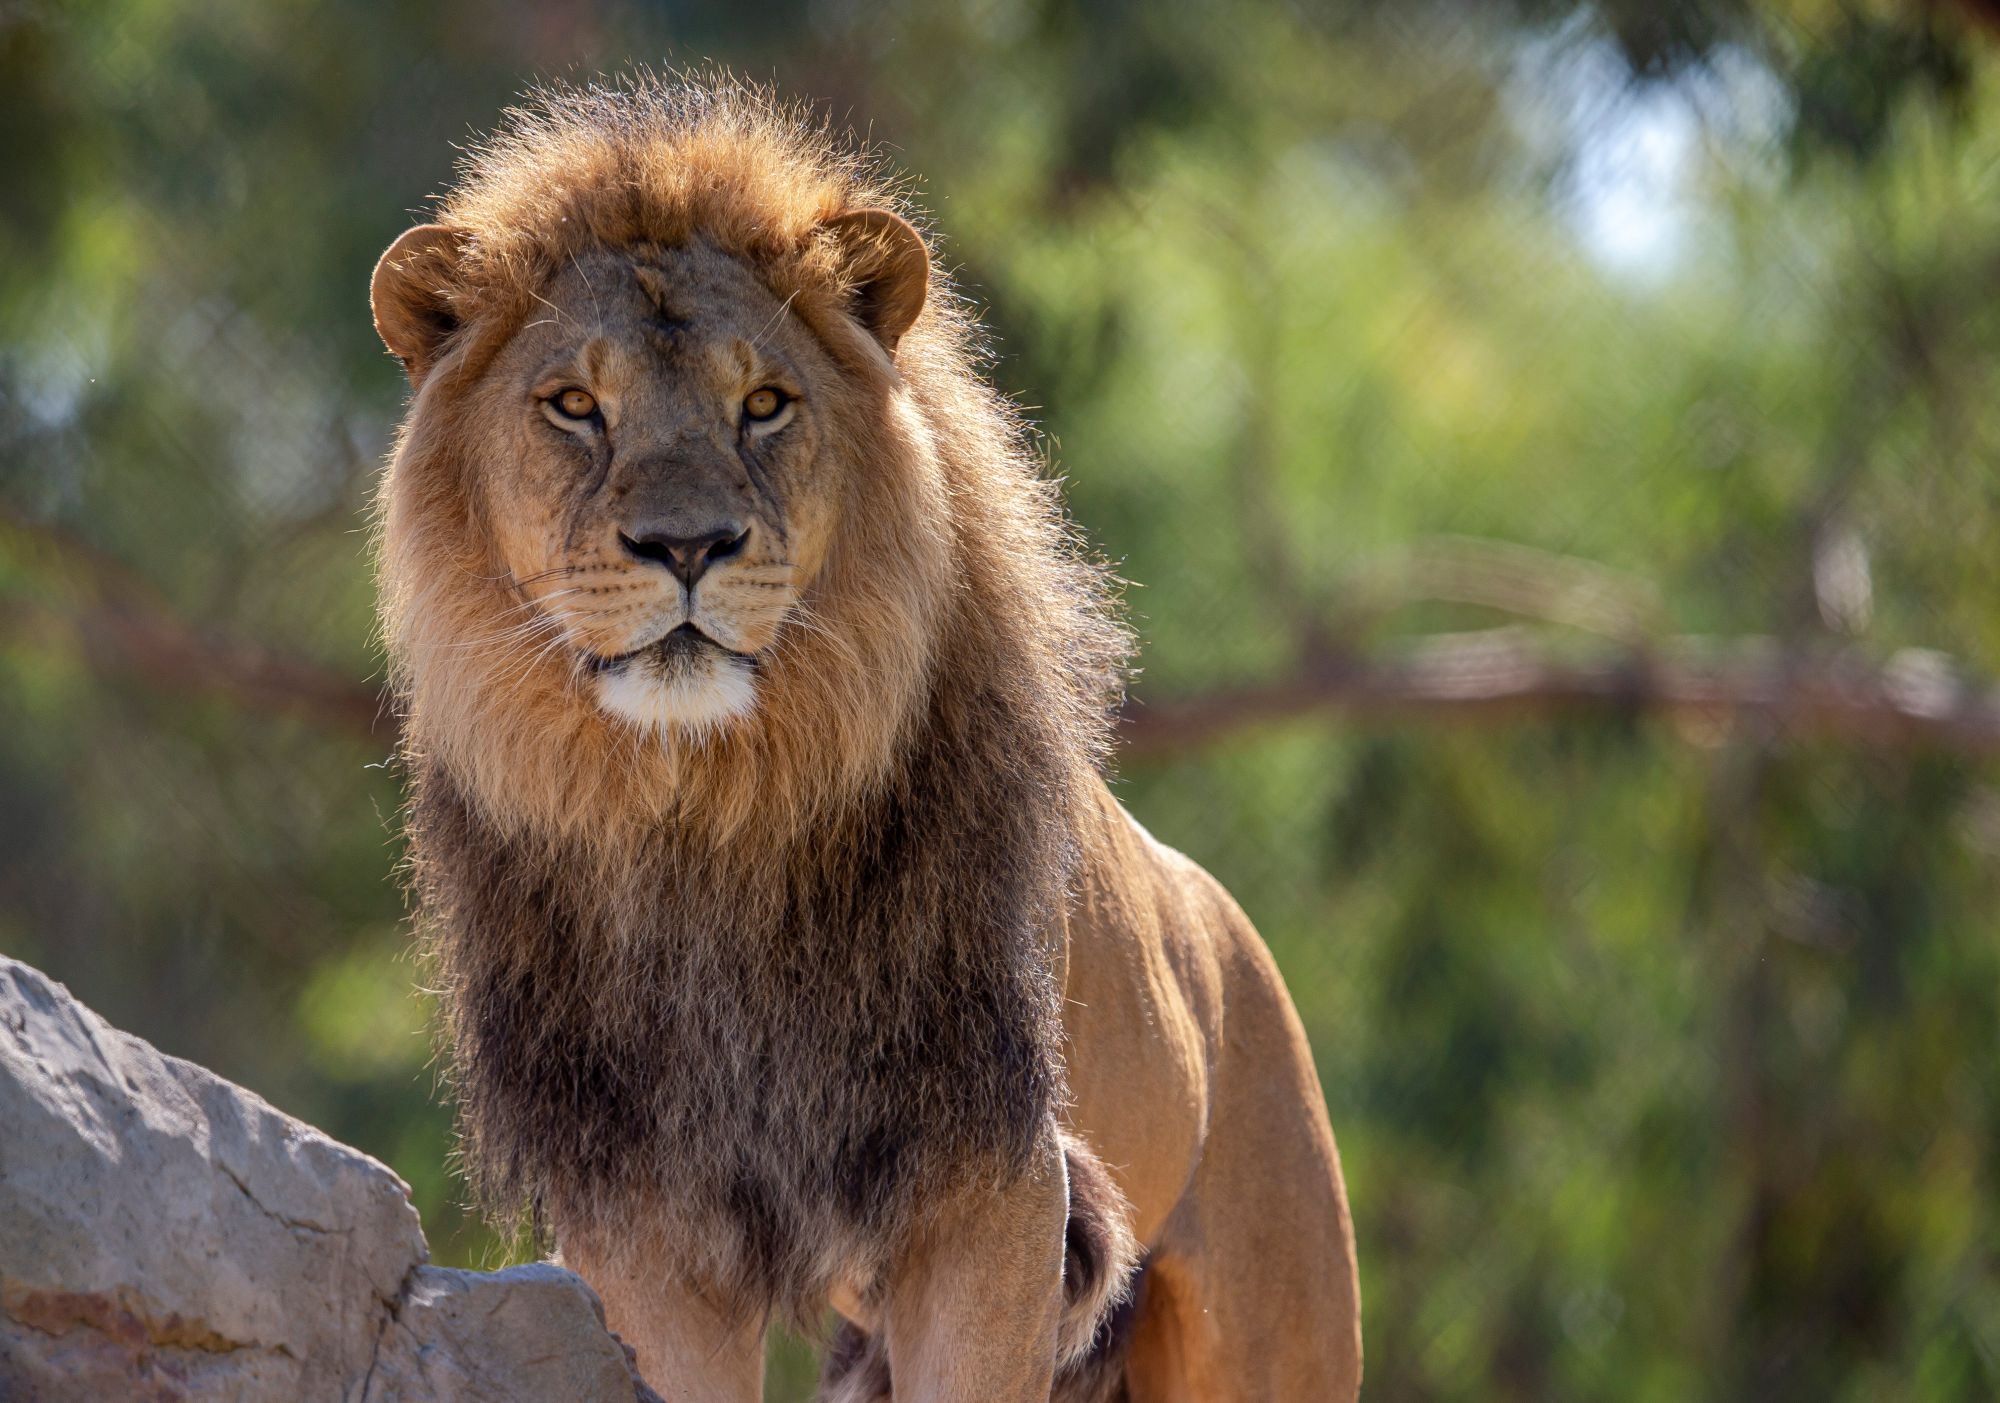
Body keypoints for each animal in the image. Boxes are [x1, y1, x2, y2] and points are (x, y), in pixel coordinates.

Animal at [370, 76, 1361, 1401]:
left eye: (763, 404)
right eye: (574, 406)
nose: (686, 544)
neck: (707, 812)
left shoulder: (992, 1180)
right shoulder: (644, 1216)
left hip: (1268, 1309)